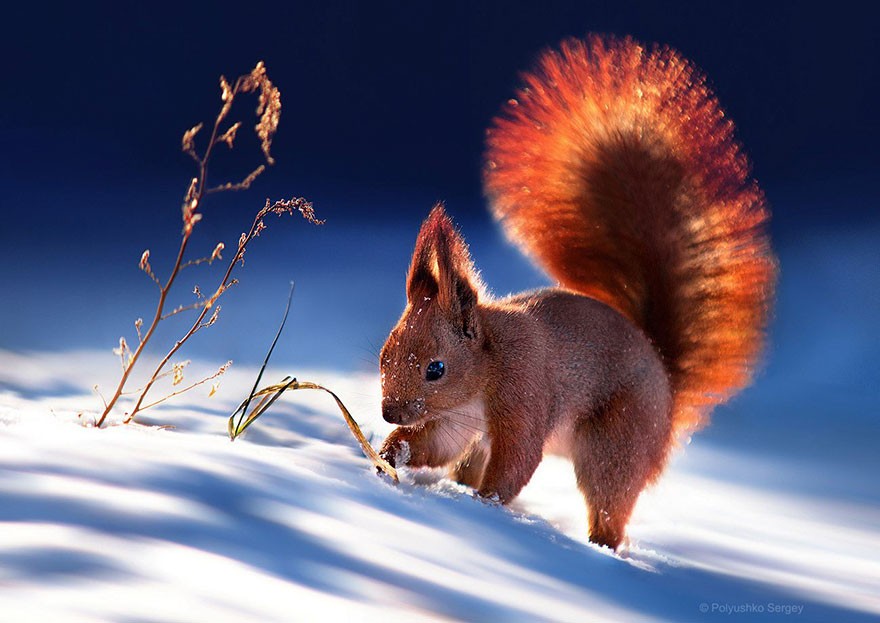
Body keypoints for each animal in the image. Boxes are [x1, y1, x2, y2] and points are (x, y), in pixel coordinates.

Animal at [374, 35, 772, 552]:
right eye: (383, 356)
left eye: (435, 369)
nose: (388, 412)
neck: (487, 365)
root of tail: (665, 381)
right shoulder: (459, 420)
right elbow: (436, 444)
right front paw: (388, 453)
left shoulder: (523, 392)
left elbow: (517, 461)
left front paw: (484, 507)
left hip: (617, 444)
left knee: (609, 503)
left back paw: (599, 544)